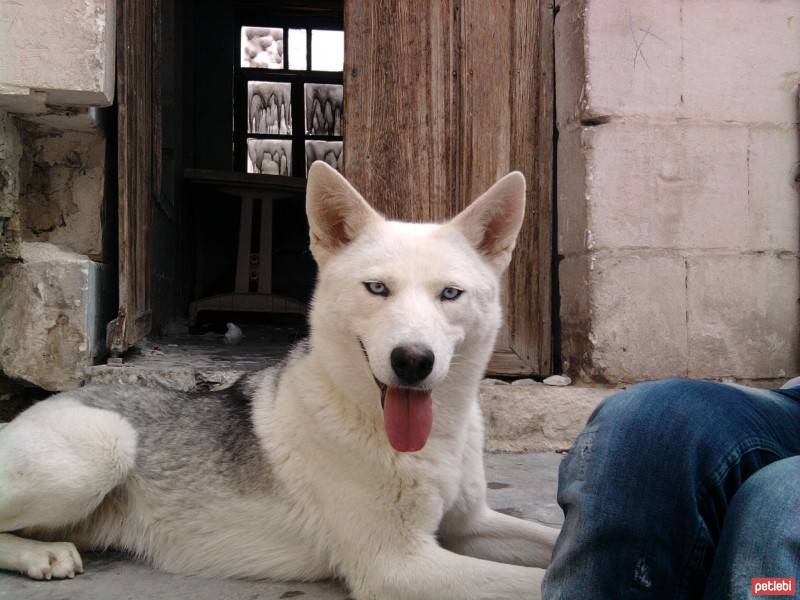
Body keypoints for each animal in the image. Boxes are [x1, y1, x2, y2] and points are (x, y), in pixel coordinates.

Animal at [0, 162, 560, 596]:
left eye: (450, 294)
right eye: (377, 288)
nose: (412, 361)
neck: (433, 437)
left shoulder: (471, 525)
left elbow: (553, 541)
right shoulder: (397, 566)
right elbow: (536, 583)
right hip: (102, 448)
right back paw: (41, 556)